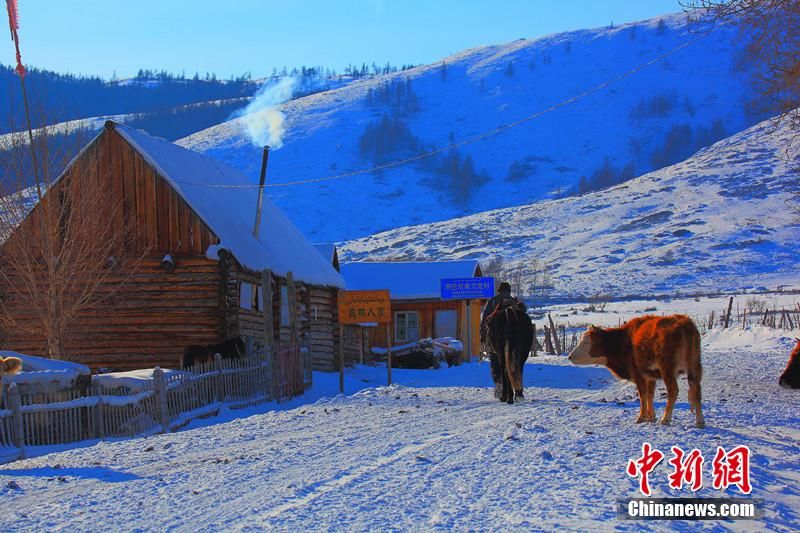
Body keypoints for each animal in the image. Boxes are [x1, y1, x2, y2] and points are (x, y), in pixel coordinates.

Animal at [564, 316, 704, 428]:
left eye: (586, 342)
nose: (570, 356)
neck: (622, 341)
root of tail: (684, 323)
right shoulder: (650, 376)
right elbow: (650, 395)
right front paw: (651, 417)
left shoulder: (638, 374)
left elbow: (642, 395)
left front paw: (641, 417)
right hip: (694, 367)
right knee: (696, 391)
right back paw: (700, 422)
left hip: (667, 369)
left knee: (673, 390)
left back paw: (665, 419)